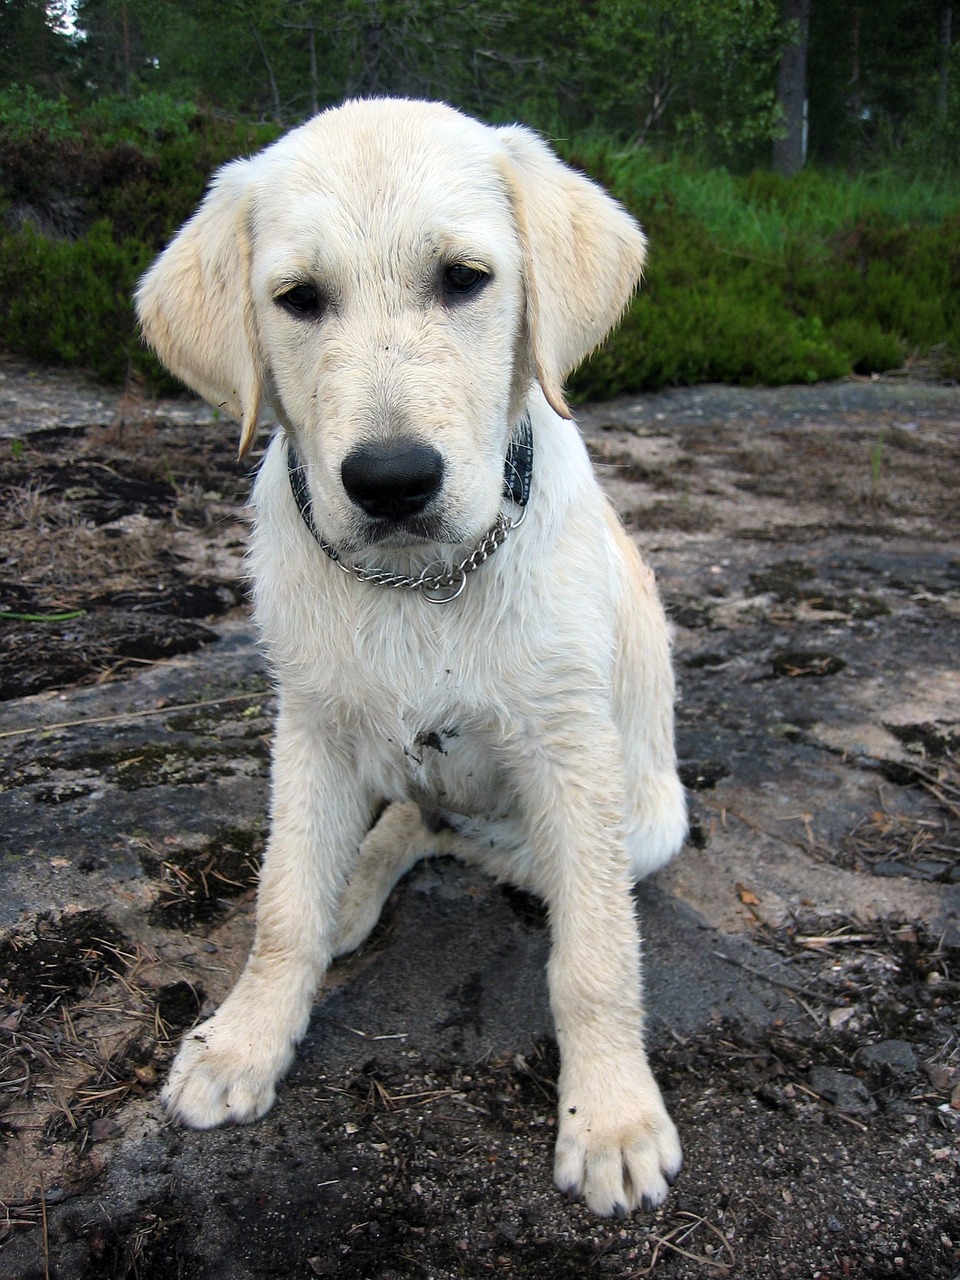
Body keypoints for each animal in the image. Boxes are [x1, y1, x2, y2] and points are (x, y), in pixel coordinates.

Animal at [136, 94, 691, 1213]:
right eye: (298, 299)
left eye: (464, 279)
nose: (391, 480)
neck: (419, 586)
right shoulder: (306, 729)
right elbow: (282, 905)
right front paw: (247, 1037)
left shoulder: (571, 752)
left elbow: (595, 956)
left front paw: (610, 1112)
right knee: (402, 820)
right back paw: (351, 891)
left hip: (641, 818)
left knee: (465, 839)